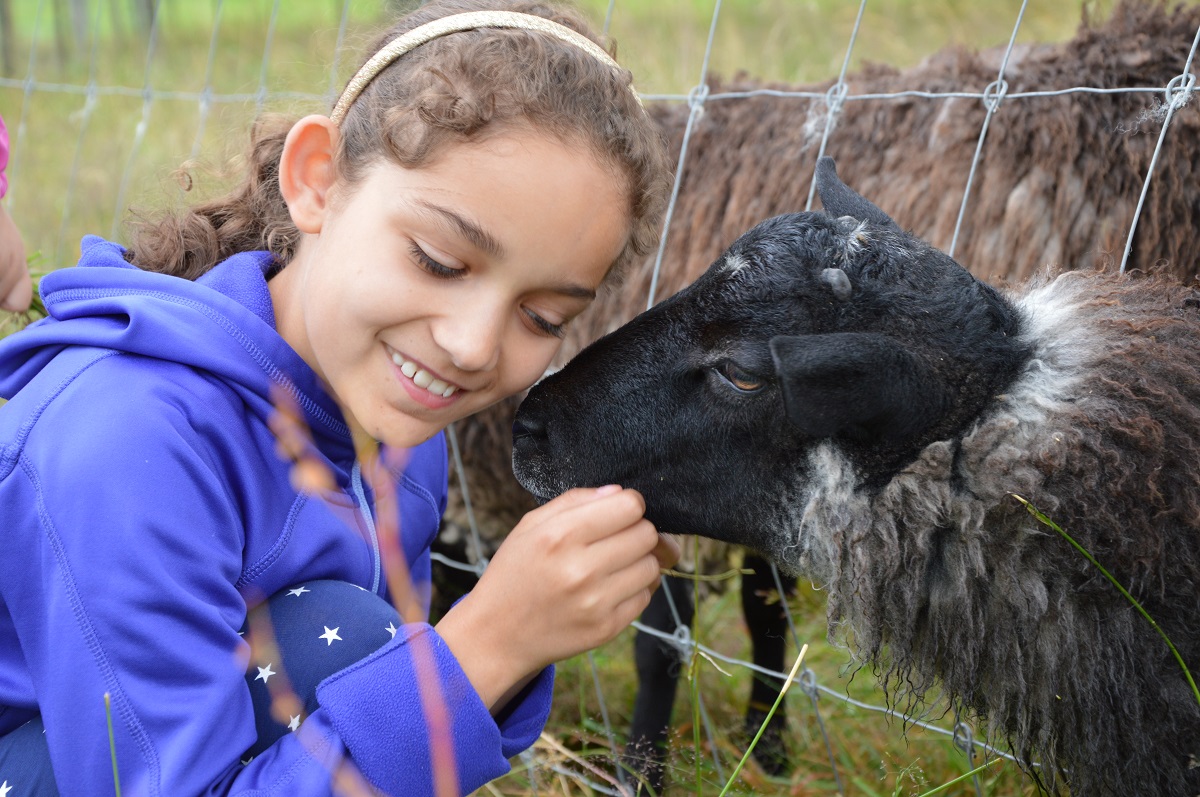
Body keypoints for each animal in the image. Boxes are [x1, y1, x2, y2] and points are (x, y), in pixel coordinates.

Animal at [433, 0, 1200, 786]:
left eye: (745, 371)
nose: (531, 423)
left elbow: (670, 640)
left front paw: (657, 770)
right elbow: (748, 614)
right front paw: (752, 746)